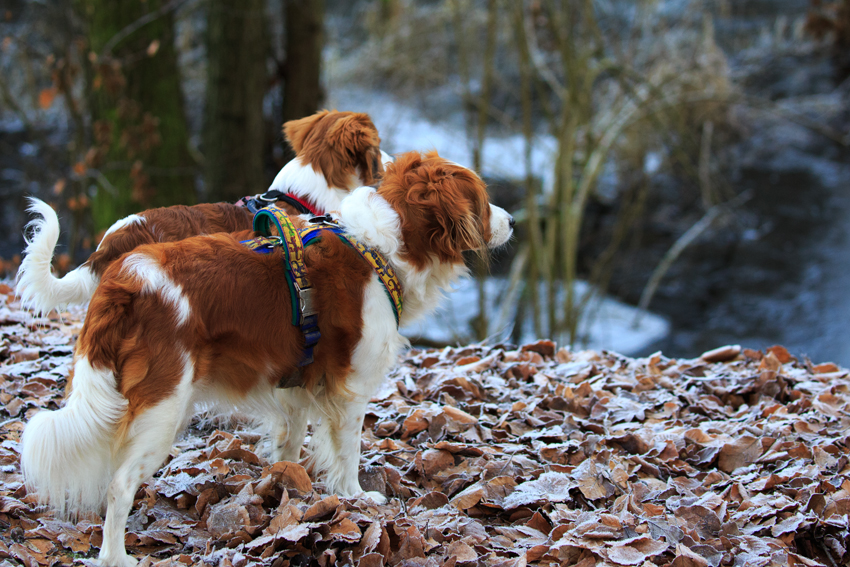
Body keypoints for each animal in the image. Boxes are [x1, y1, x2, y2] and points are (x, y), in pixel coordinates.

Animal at [19, 151, 512, 567]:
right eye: (482, 201)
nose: (512, 220)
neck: (382, 247)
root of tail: (125, 281)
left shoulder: (294, 386)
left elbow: (288, 450)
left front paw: (288, 495)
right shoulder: (349, 391)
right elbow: (349, 452)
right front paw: (355, 496)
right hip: (163, 409)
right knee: (119, 486)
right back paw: (115, 557)